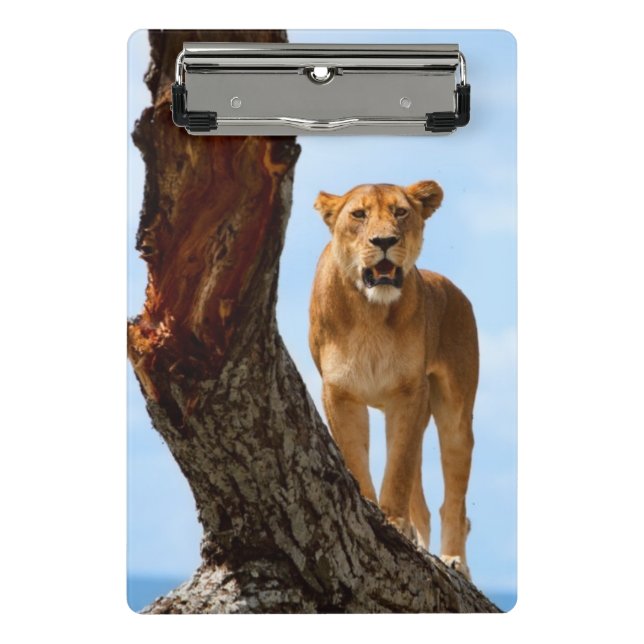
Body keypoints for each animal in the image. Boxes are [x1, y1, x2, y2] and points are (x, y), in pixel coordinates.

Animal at [308, 180, 479, 579]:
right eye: (359, 214)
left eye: (401, 212)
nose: (384, 240)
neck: (371, 313)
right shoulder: (339, 394)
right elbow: (356, 457)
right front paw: (370, 510)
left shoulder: (409, 394)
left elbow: (398, 468)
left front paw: (393, 522)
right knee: (425, 507)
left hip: (454, 413)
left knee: (454, 503)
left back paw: (453, 561)